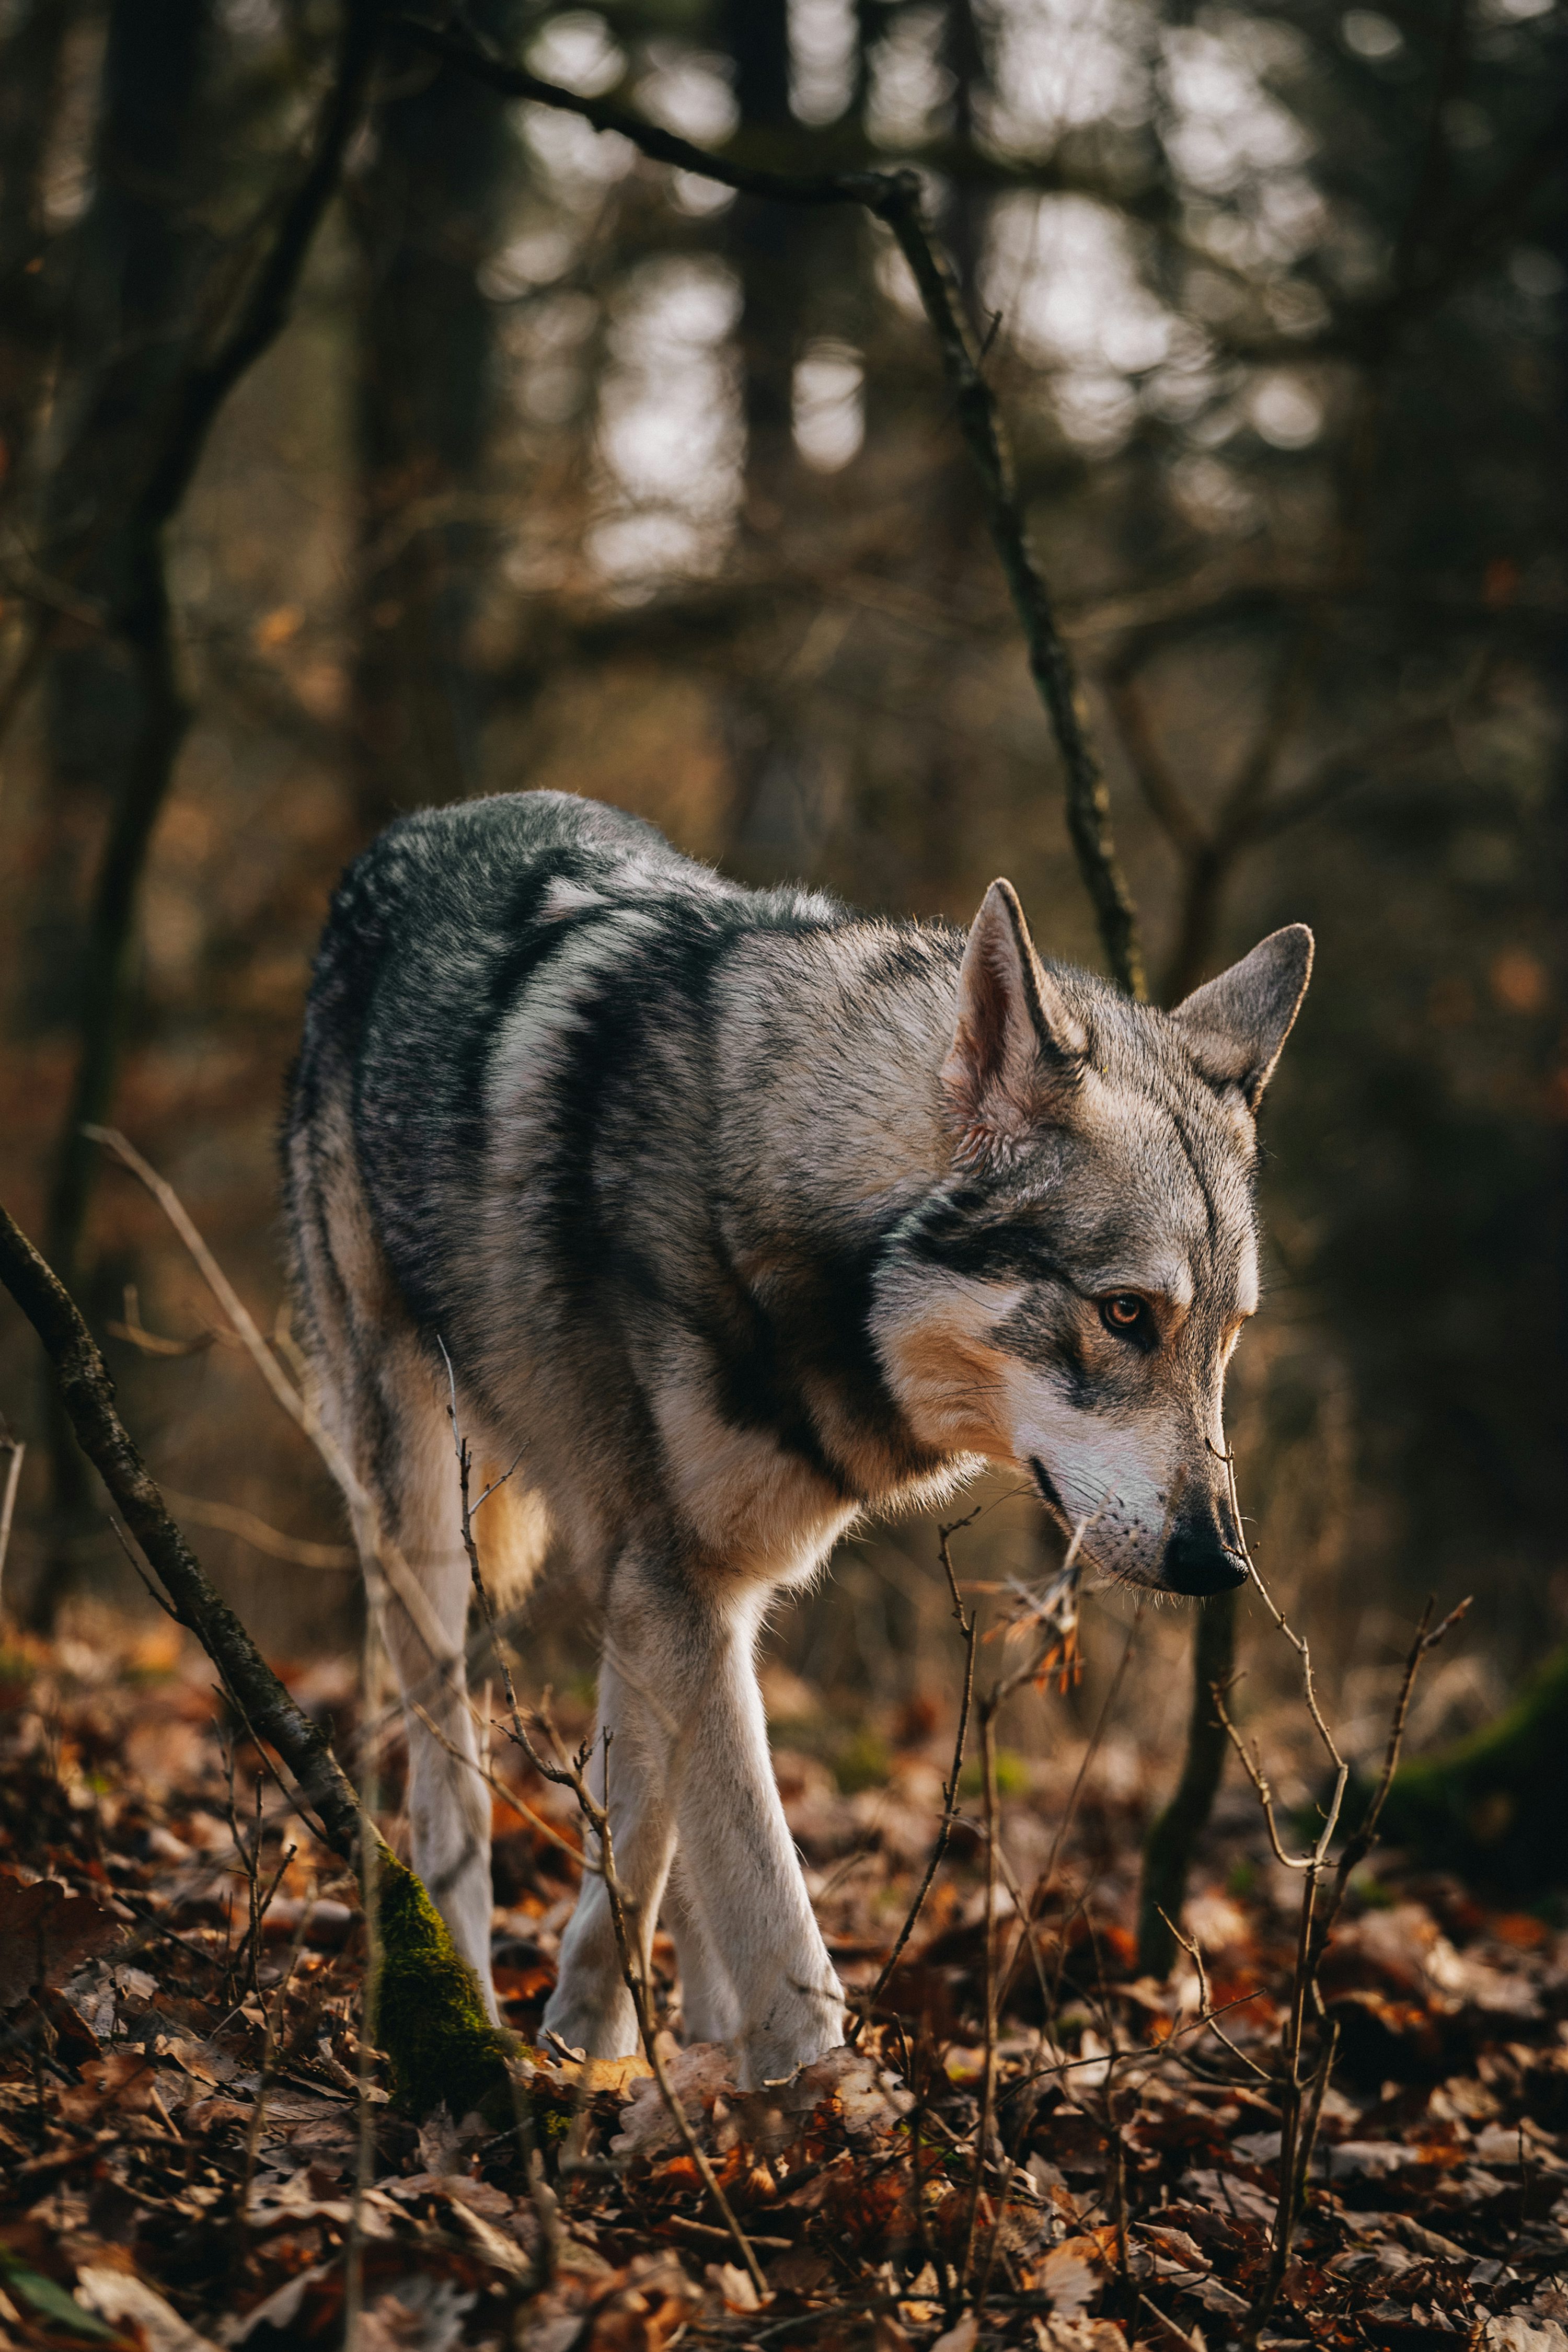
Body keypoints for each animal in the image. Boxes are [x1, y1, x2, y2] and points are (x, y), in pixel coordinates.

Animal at [284, 789, 1311, 2087]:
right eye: (1127, 1314)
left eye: (1226, 1337)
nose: (1220, 1564)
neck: (773, 1182)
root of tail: (420, 825)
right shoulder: (678, 1586)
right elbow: (769, 1914)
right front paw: (822, 2111)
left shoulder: (694, 1587)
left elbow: (663, 1852)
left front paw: (625, 2056)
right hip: (422, 1509)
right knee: (446, 1784)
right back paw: (457, 2005)